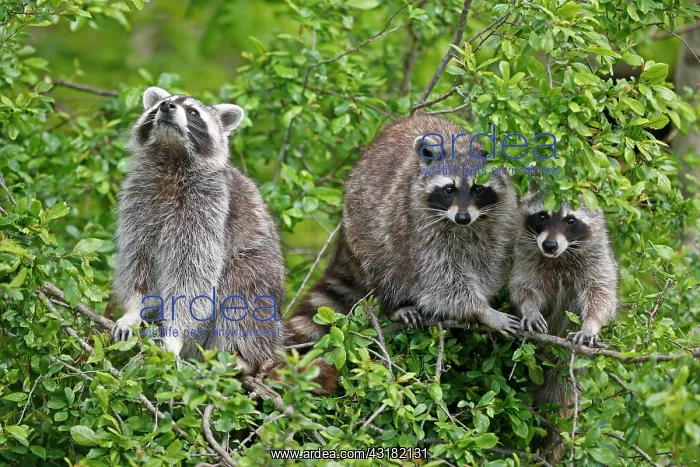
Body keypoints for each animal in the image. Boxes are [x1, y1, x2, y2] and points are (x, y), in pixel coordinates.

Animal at [110, 87, 286, 375]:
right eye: (160, 104)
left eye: (193, 112)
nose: (167, 106)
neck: (172, 155)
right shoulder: (138, 201)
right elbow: (139, 260)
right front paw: (134, 310)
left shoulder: (207, 212)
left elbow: (193, 276)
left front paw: (174, 335)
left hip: (261, 273)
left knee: (241, 296)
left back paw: (243, 357)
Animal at [286, 114, 521, 347]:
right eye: (449, 189)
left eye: (478, 189)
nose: (462, 217)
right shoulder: (420, 229)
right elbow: (441, 278)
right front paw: (481, 311)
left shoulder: (501, 220)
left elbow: (489, 263)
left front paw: (481, 305)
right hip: (366, 229)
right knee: (388, 266)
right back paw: (394, 306)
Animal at [509, 192, 618, 462]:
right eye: (542, 216)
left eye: (570, 220)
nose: (549, 245)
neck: (560, 256)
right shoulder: (526, 255)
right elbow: (522, 286)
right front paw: (529, 309)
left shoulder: (598, 259)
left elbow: (602, 295)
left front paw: (590, 325)